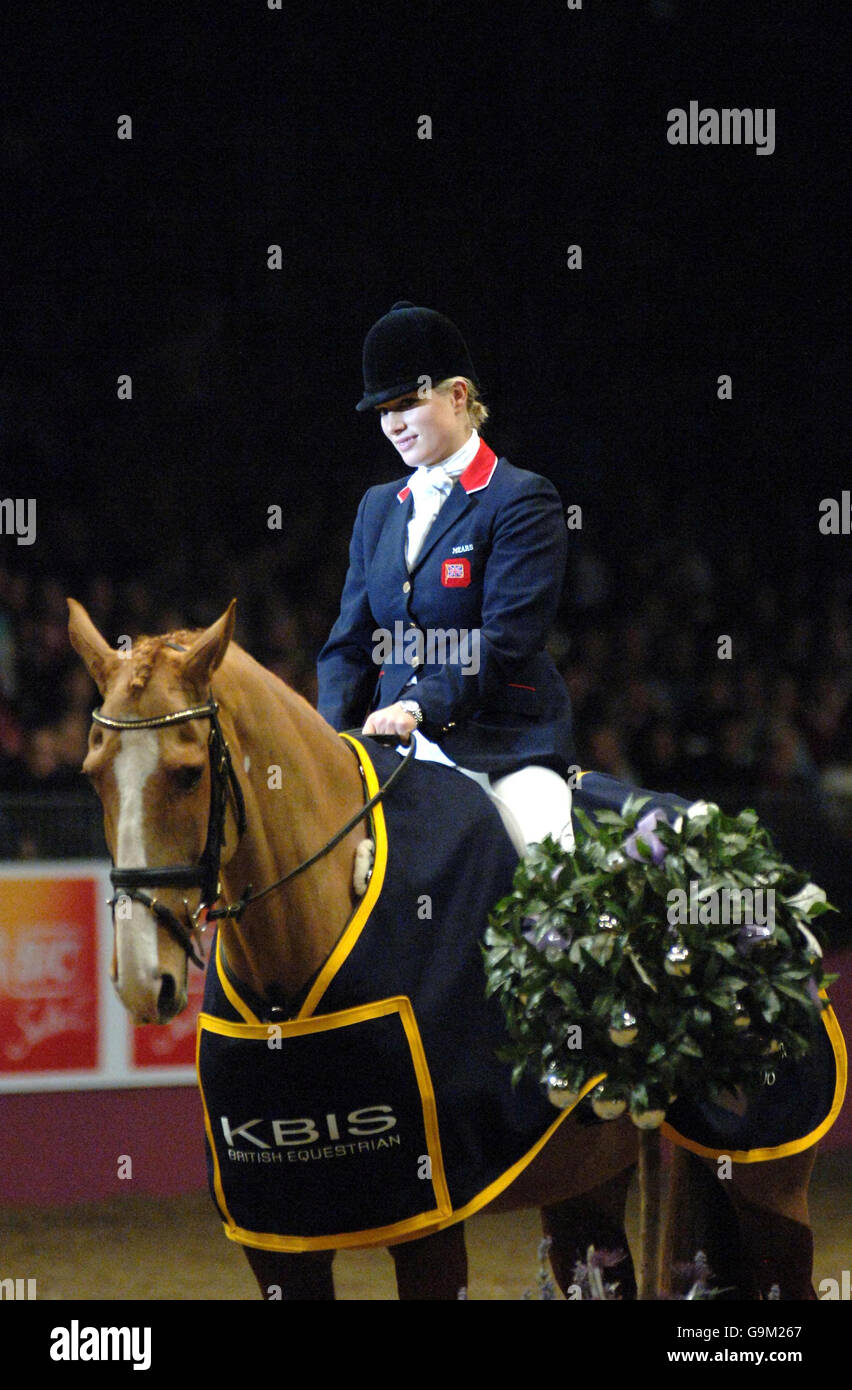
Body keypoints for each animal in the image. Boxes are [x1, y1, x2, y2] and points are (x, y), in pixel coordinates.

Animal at [68, 600, 817, 1301]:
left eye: (189, 774)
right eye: (93, 773)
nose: (142, 980)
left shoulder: (430, 1215)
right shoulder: (279, 1236)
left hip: (766, 1168)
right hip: (587, 1181)